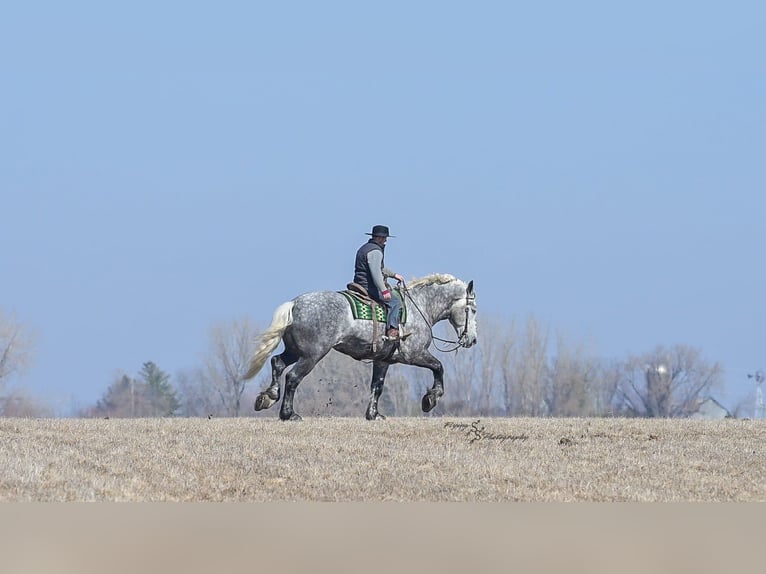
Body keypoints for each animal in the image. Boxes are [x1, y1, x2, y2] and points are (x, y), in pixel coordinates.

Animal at [243, 273, 478, 420]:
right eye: (473, 309)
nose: (472, 340)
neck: (419, 306)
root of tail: (294, 304)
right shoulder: (415, 354)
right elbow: (438, 367)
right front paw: (431, 398)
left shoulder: (383, 360)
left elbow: (377, 386)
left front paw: (373, 414)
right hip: (312, 355)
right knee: (292, 377)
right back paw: (288, 414)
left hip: (296, 351)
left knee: (277, 363)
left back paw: (268, 397)